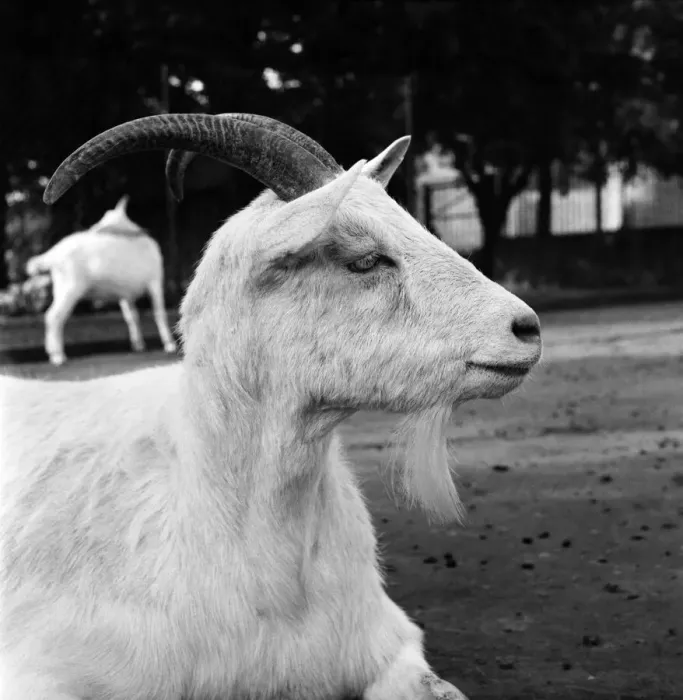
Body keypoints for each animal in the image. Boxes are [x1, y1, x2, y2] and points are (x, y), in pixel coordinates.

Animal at [25, 195, 177, 365]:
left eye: (107, 219)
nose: (94, 229)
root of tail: (54, 254)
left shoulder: (126, 294)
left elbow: (132, 317)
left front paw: (138, 344)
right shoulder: (155, 281)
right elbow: (159, 313)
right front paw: (169, 344)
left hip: (60, 285)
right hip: (71, 285)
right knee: (54, 316)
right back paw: (58, 356)